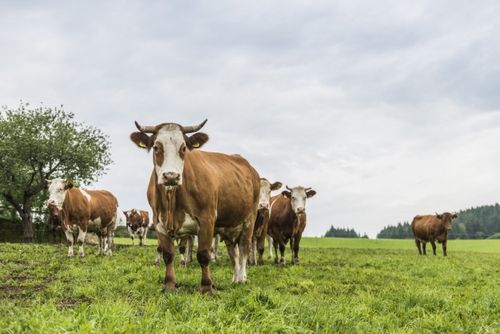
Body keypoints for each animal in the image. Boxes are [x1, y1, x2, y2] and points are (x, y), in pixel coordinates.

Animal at [131, 119, 260, 292]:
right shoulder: (159, 222)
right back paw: (235, 278)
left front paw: (207, 287)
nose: (171, 176)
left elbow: (204, 254)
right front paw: (169, 284)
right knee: (234, 251)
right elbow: (168, 255)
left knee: (244, 248)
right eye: (157, 147)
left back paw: (242, 278)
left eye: (184, 148)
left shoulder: (207, 219)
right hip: (229, 224)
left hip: (249, 219)